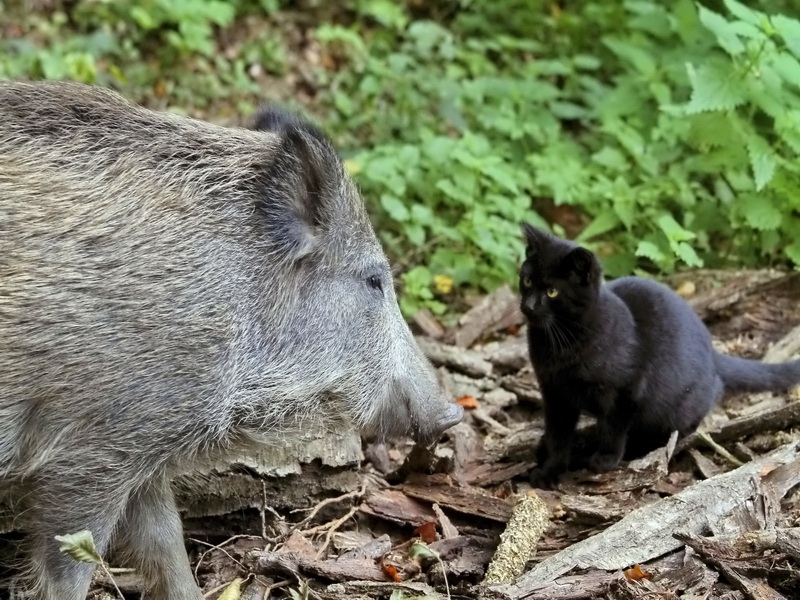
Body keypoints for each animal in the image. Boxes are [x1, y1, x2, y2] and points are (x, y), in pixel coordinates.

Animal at [520, 224, 800, 488]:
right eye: (528, 281)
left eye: (552, 292)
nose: (528, 305)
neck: (560, 342)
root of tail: (712, 353)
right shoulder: (555, 393)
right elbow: (558, 436)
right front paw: (550, 471)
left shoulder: (628, 387)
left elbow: (615, 426)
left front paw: (606, 459)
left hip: (678, 405)